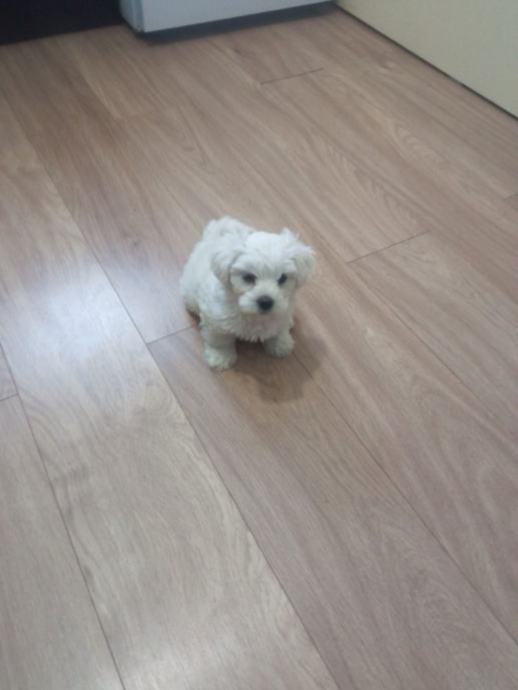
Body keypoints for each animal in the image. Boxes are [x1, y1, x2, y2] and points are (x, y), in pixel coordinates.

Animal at [180, 217, 315, 370]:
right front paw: (221, 357)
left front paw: (281, 344)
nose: (265, 301)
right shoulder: (216, 320)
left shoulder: (283, 312)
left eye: (282, 278)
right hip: (190, 295)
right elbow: (220, 340)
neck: (254, 315)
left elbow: (279, 329)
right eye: (248, 277)